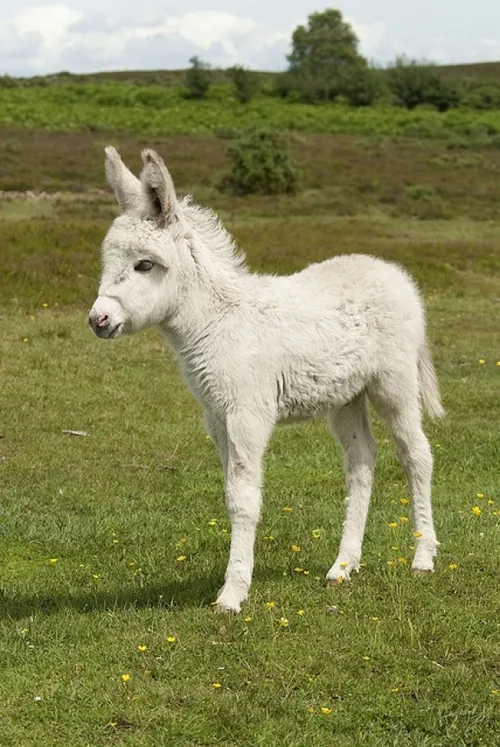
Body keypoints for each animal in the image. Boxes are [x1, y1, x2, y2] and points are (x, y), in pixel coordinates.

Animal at [88, 146, 444, 612]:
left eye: (144, 265)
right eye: (107, 261)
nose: (98, 320)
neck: (217, 322)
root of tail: (393, 273)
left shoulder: (247, 413)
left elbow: (243, 499)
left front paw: (233, 593)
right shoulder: (216, 417)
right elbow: (230, 491)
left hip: (393, 383)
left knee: (416, 455)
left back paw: (423, 558)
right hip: (345, 397)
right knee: (362, 462)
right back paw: (343, 566)